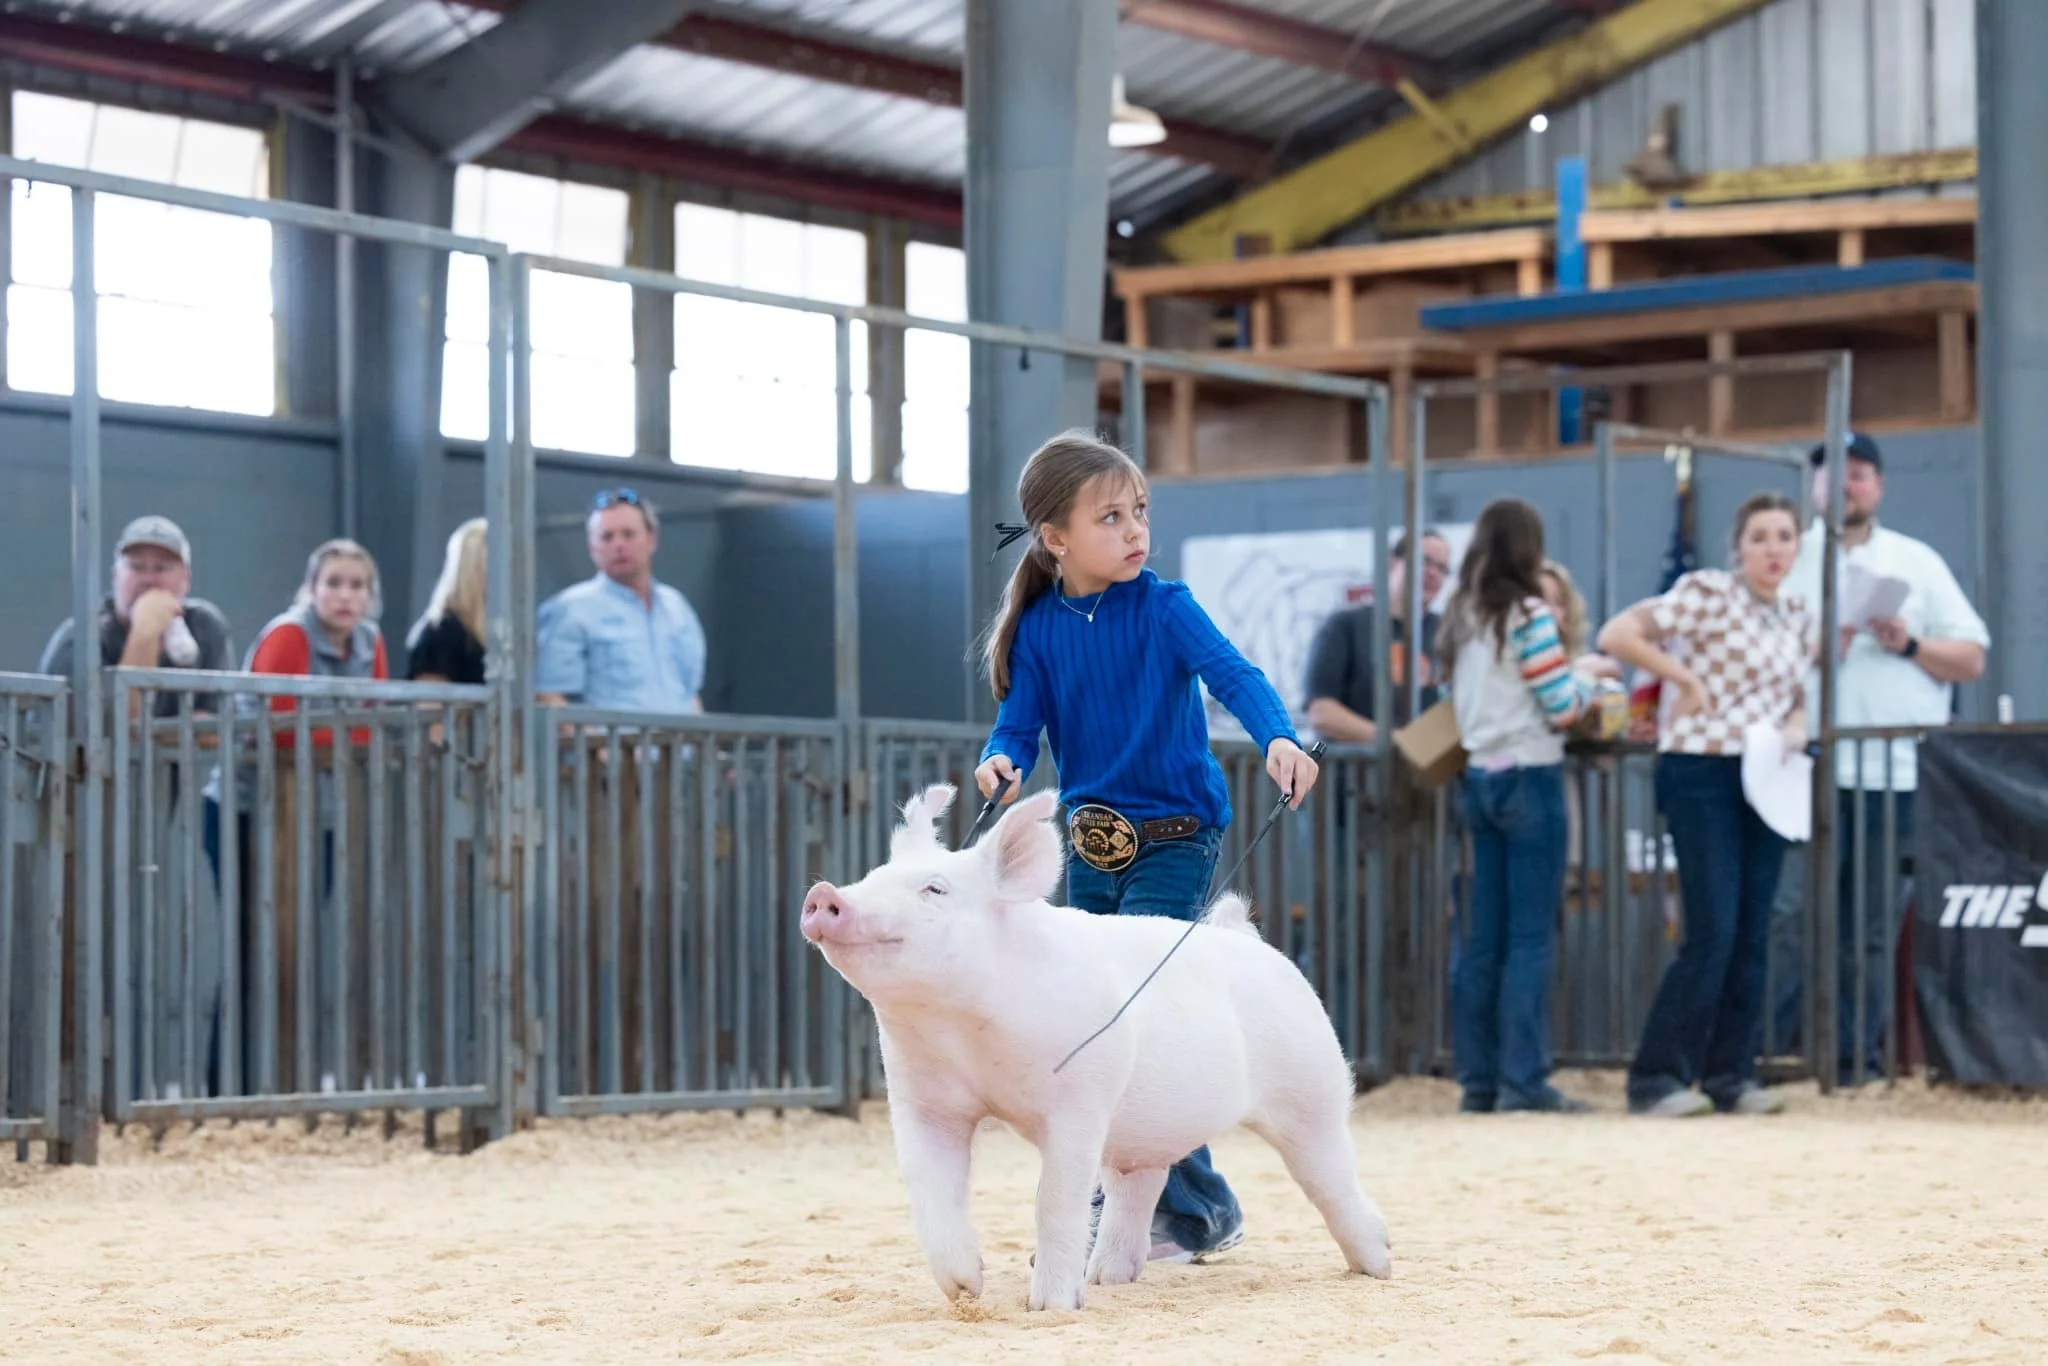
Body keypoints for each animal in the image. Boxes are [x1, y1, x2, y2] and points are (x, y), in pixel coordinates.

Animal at [799, 782, 1394, 1313]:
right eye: (871, 877)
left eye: (935, 889)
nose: (824, 894)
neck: (963, 1037)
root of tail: (1252, 942)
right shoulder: (924, 1101)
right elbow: (929, 1192)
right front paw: (966, 1290)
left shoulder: (1080, 1102)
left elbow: (1056, 1200)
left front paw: (1050, 1308)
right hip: (1150, 1124)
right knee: (1141, 1181)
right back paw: (1108, 1277)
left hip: (1312, 1091)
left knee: (1331, 1178)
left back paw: (1380, 1264)